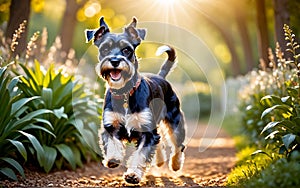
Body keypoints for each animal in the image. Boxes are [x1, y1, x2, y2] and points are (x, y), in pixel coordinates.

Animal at [85, 16, 186, 184]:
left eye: (127, 50)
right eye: (105, 49)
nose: (114, 61)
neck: (125, 93)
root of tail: (161, 77)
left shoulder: (147, 131)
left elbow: (141, 154)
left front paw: (132, 175)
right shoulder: (110, 126)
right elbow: (113, 143)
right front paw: (113, 159)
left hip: (174, 122)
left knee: (178, 145)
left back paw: (175, 164)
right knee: (160, 143)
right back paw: (160, 161)